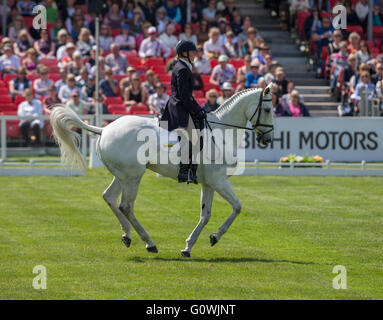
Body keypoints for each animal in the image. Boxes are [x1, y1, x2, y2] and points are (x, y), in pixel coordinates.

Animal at [49, 83, 274, 258]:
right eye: (268, 109)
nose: (268, 139)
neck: (221, 131)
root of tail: (104, 129)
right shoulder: (219, 181)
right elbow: (237, 207)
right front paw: (215, 237)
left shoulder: (209, 183)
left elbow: (206, 215)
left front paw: (188, 247)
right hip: (133, 176)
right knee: (125, 206)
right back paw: (149, 243)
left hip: (122, 176)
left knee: (109, 197)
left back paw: (127, 235)